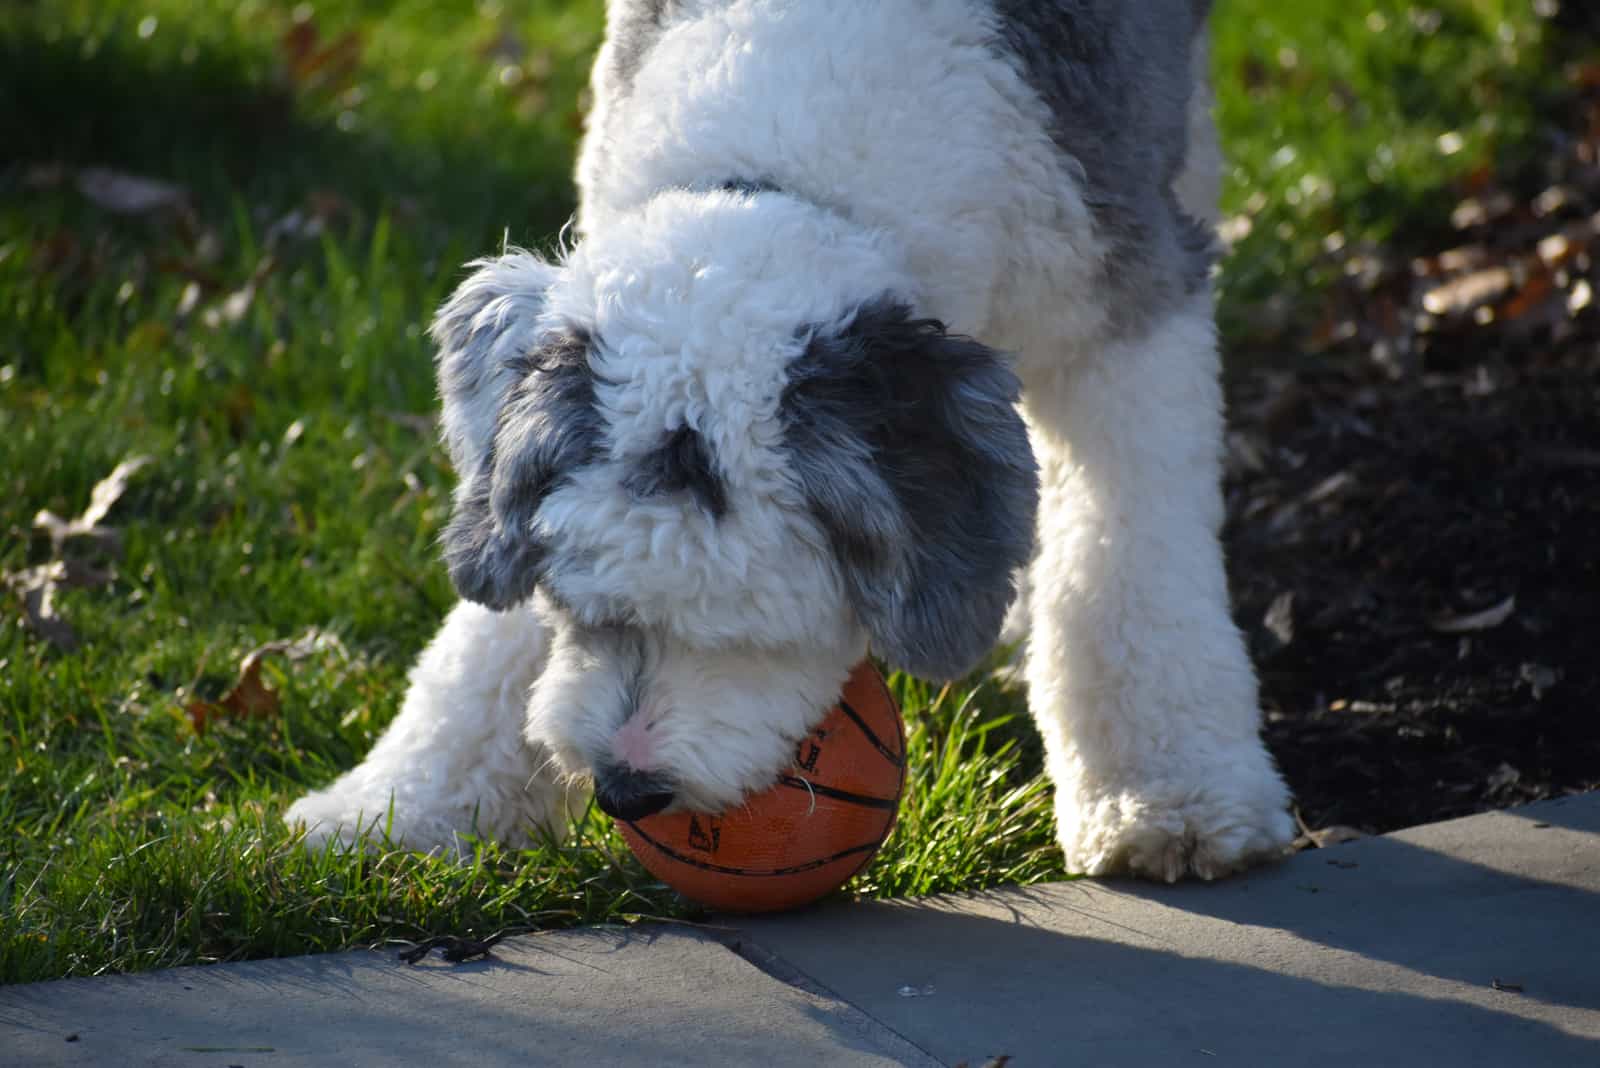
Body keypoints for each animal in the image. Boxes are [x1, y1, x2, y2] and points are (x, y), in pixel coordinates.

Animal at [291, 0, 1299, 882]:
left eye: (756, 636)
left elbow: (1129, 565)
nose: (626, 790)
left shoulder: (1122, 317)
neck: (792, 167)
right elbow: (486, 646)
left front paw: (1167, 794)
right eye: (579, 609)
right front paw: (400, 810)